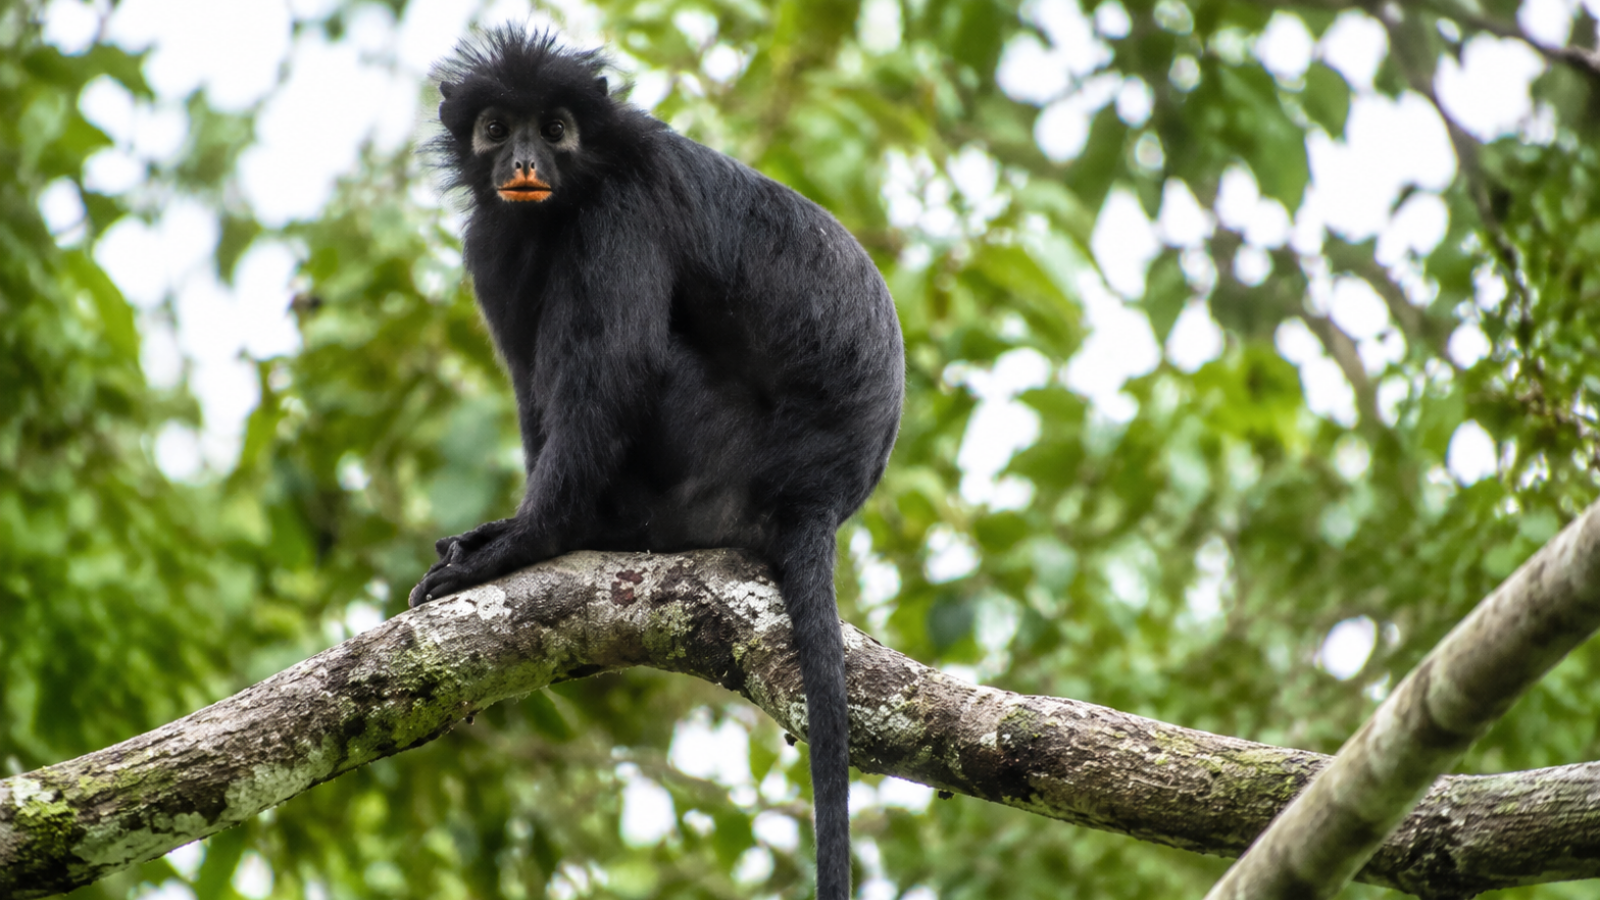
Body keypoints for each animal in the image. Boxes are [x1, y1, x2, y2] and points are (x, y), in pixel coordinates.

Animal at [412, 28, 904, 900]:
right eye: (498, 129)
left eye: (557, 128)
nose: (526, 161)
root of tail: (815, 497)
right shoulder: (493, 240)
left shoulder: (621, 213)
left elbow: (616, 367)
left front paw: (527, 542)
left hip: (711, 455)